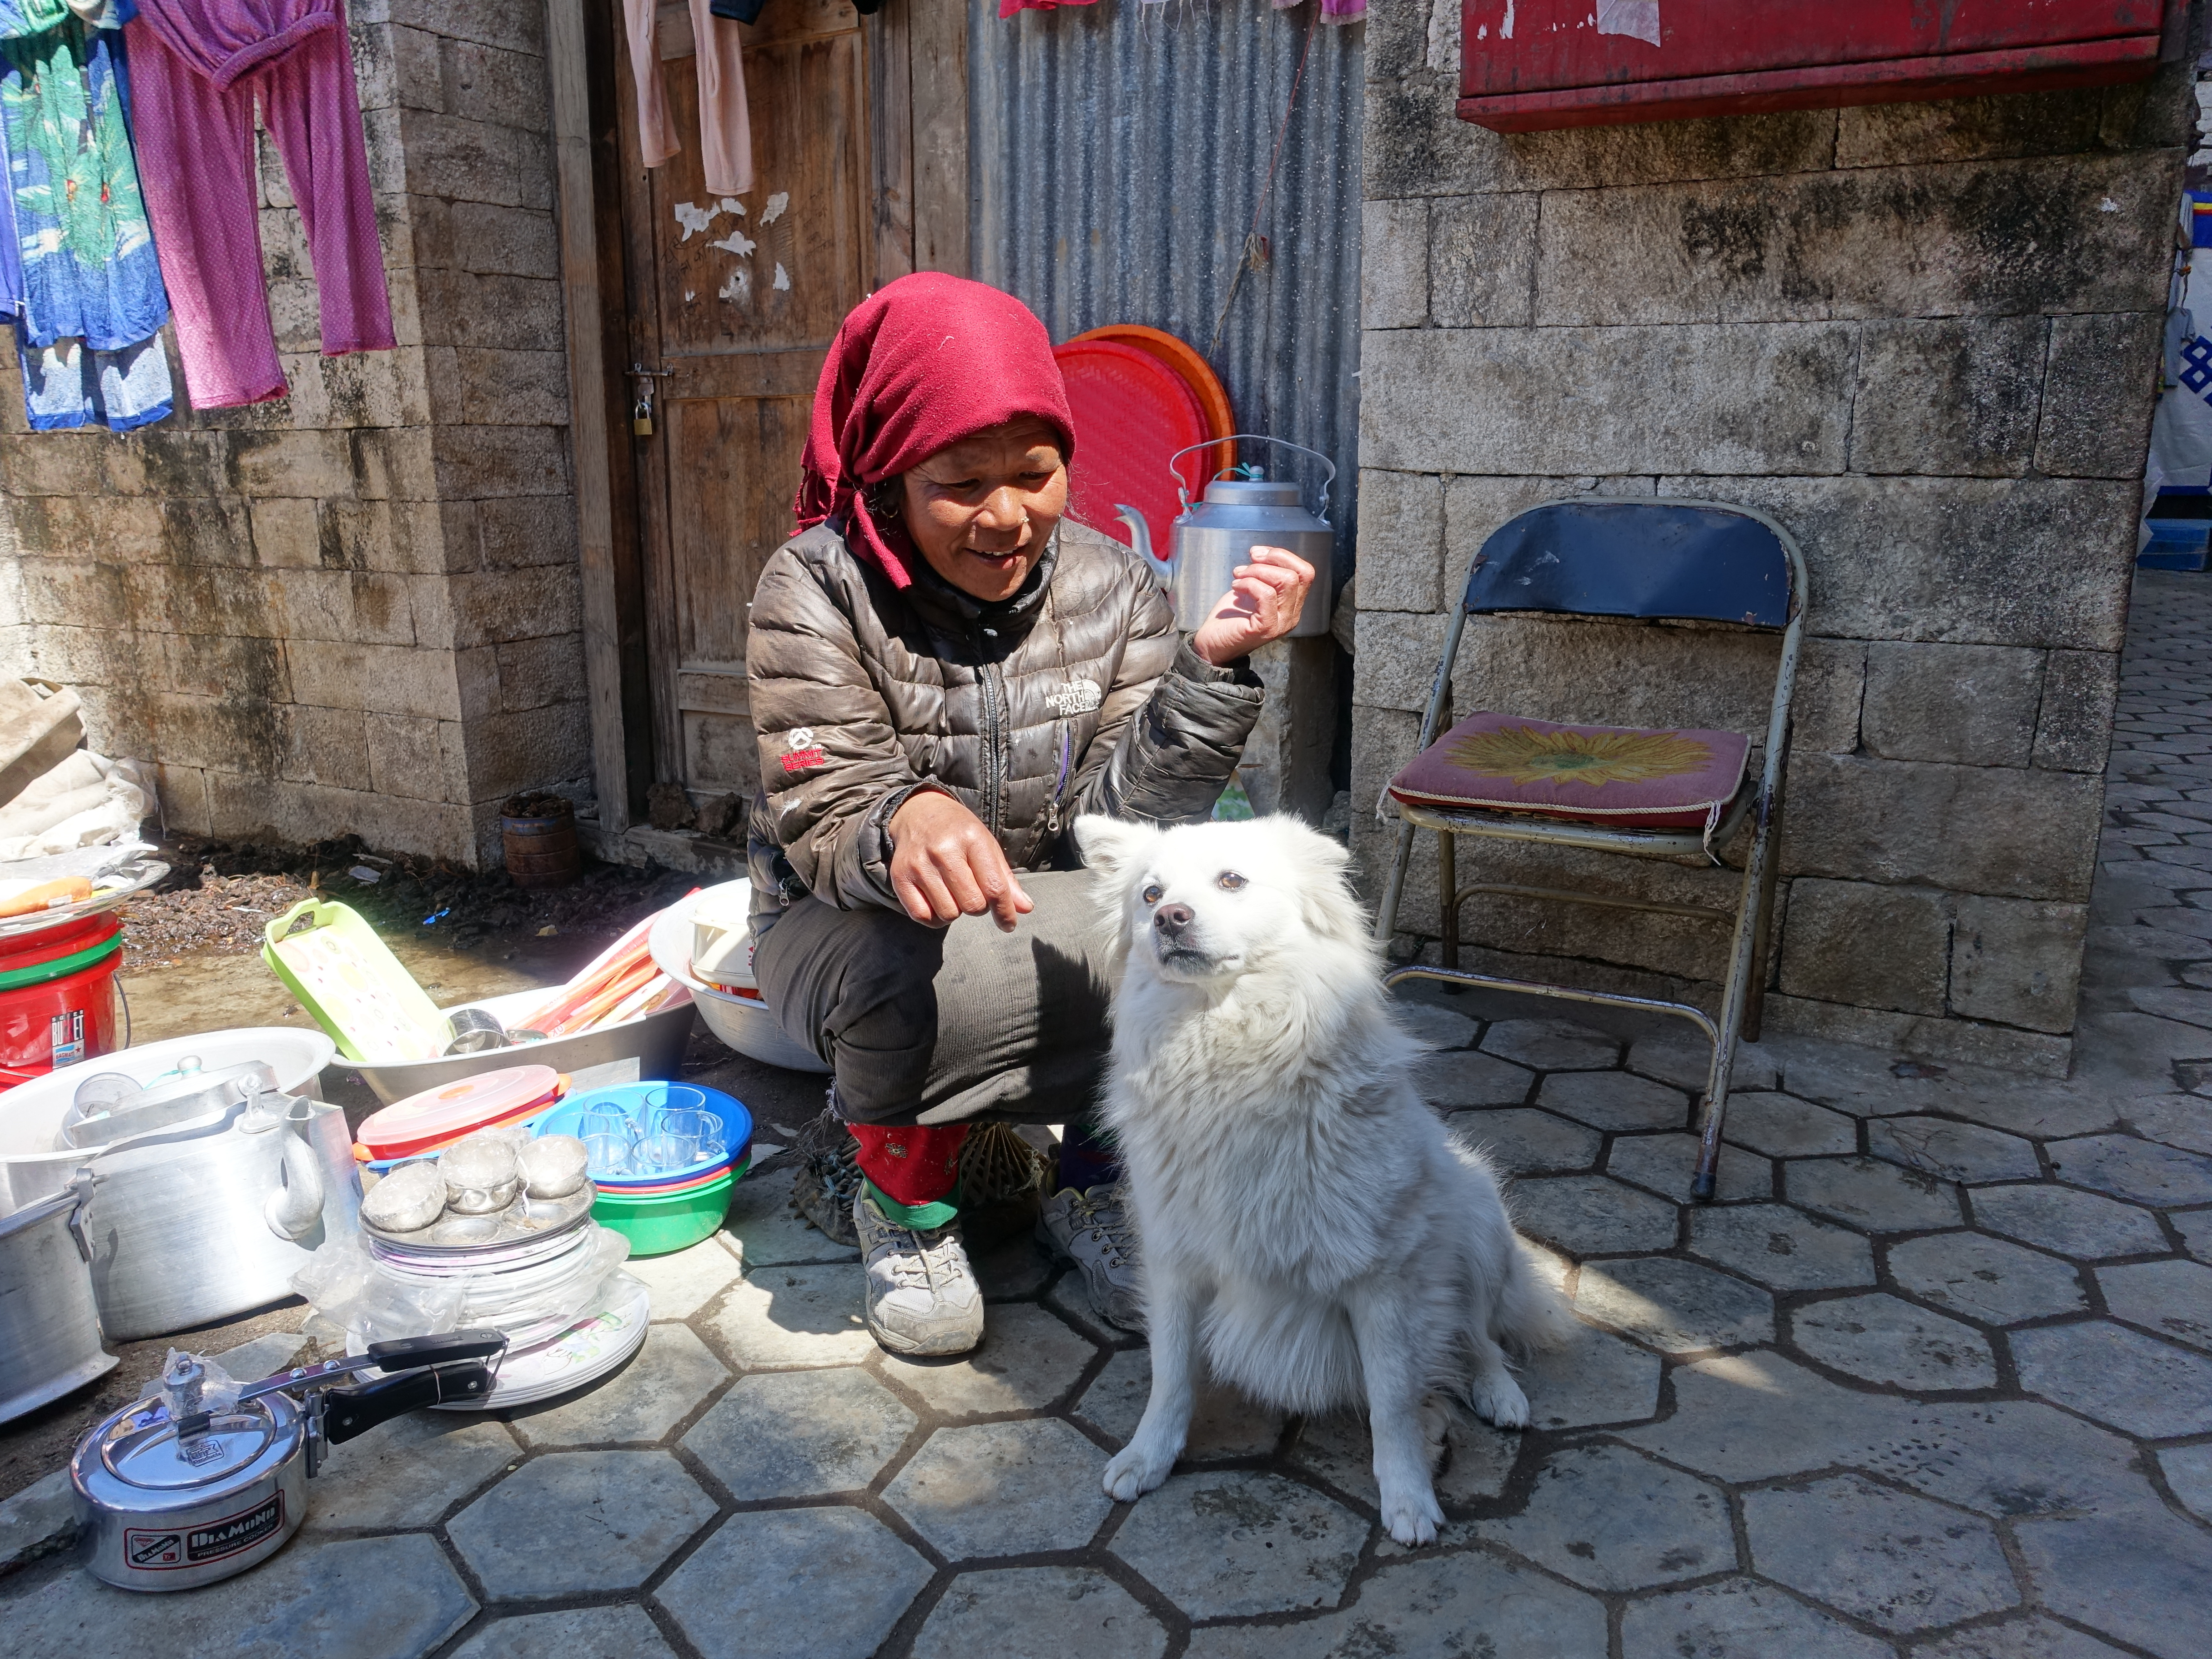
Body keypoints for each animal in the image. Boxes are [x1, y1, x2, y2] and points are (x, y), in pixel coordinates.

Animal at [1075, 818, 1575, 1548]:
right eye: (1150, 894)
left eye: (1232, 880)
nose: (1171, 919)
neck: (1227, 1053)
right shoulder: (1173, 1264)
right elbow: (1170, 1376)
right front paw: (1147, 1458)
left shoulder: (1384, 1279)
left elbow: (1392, 1402)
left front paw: (1409, 1500)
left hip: (1479, 1224)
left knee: (1479, 1336)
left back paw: (1497, 1396)